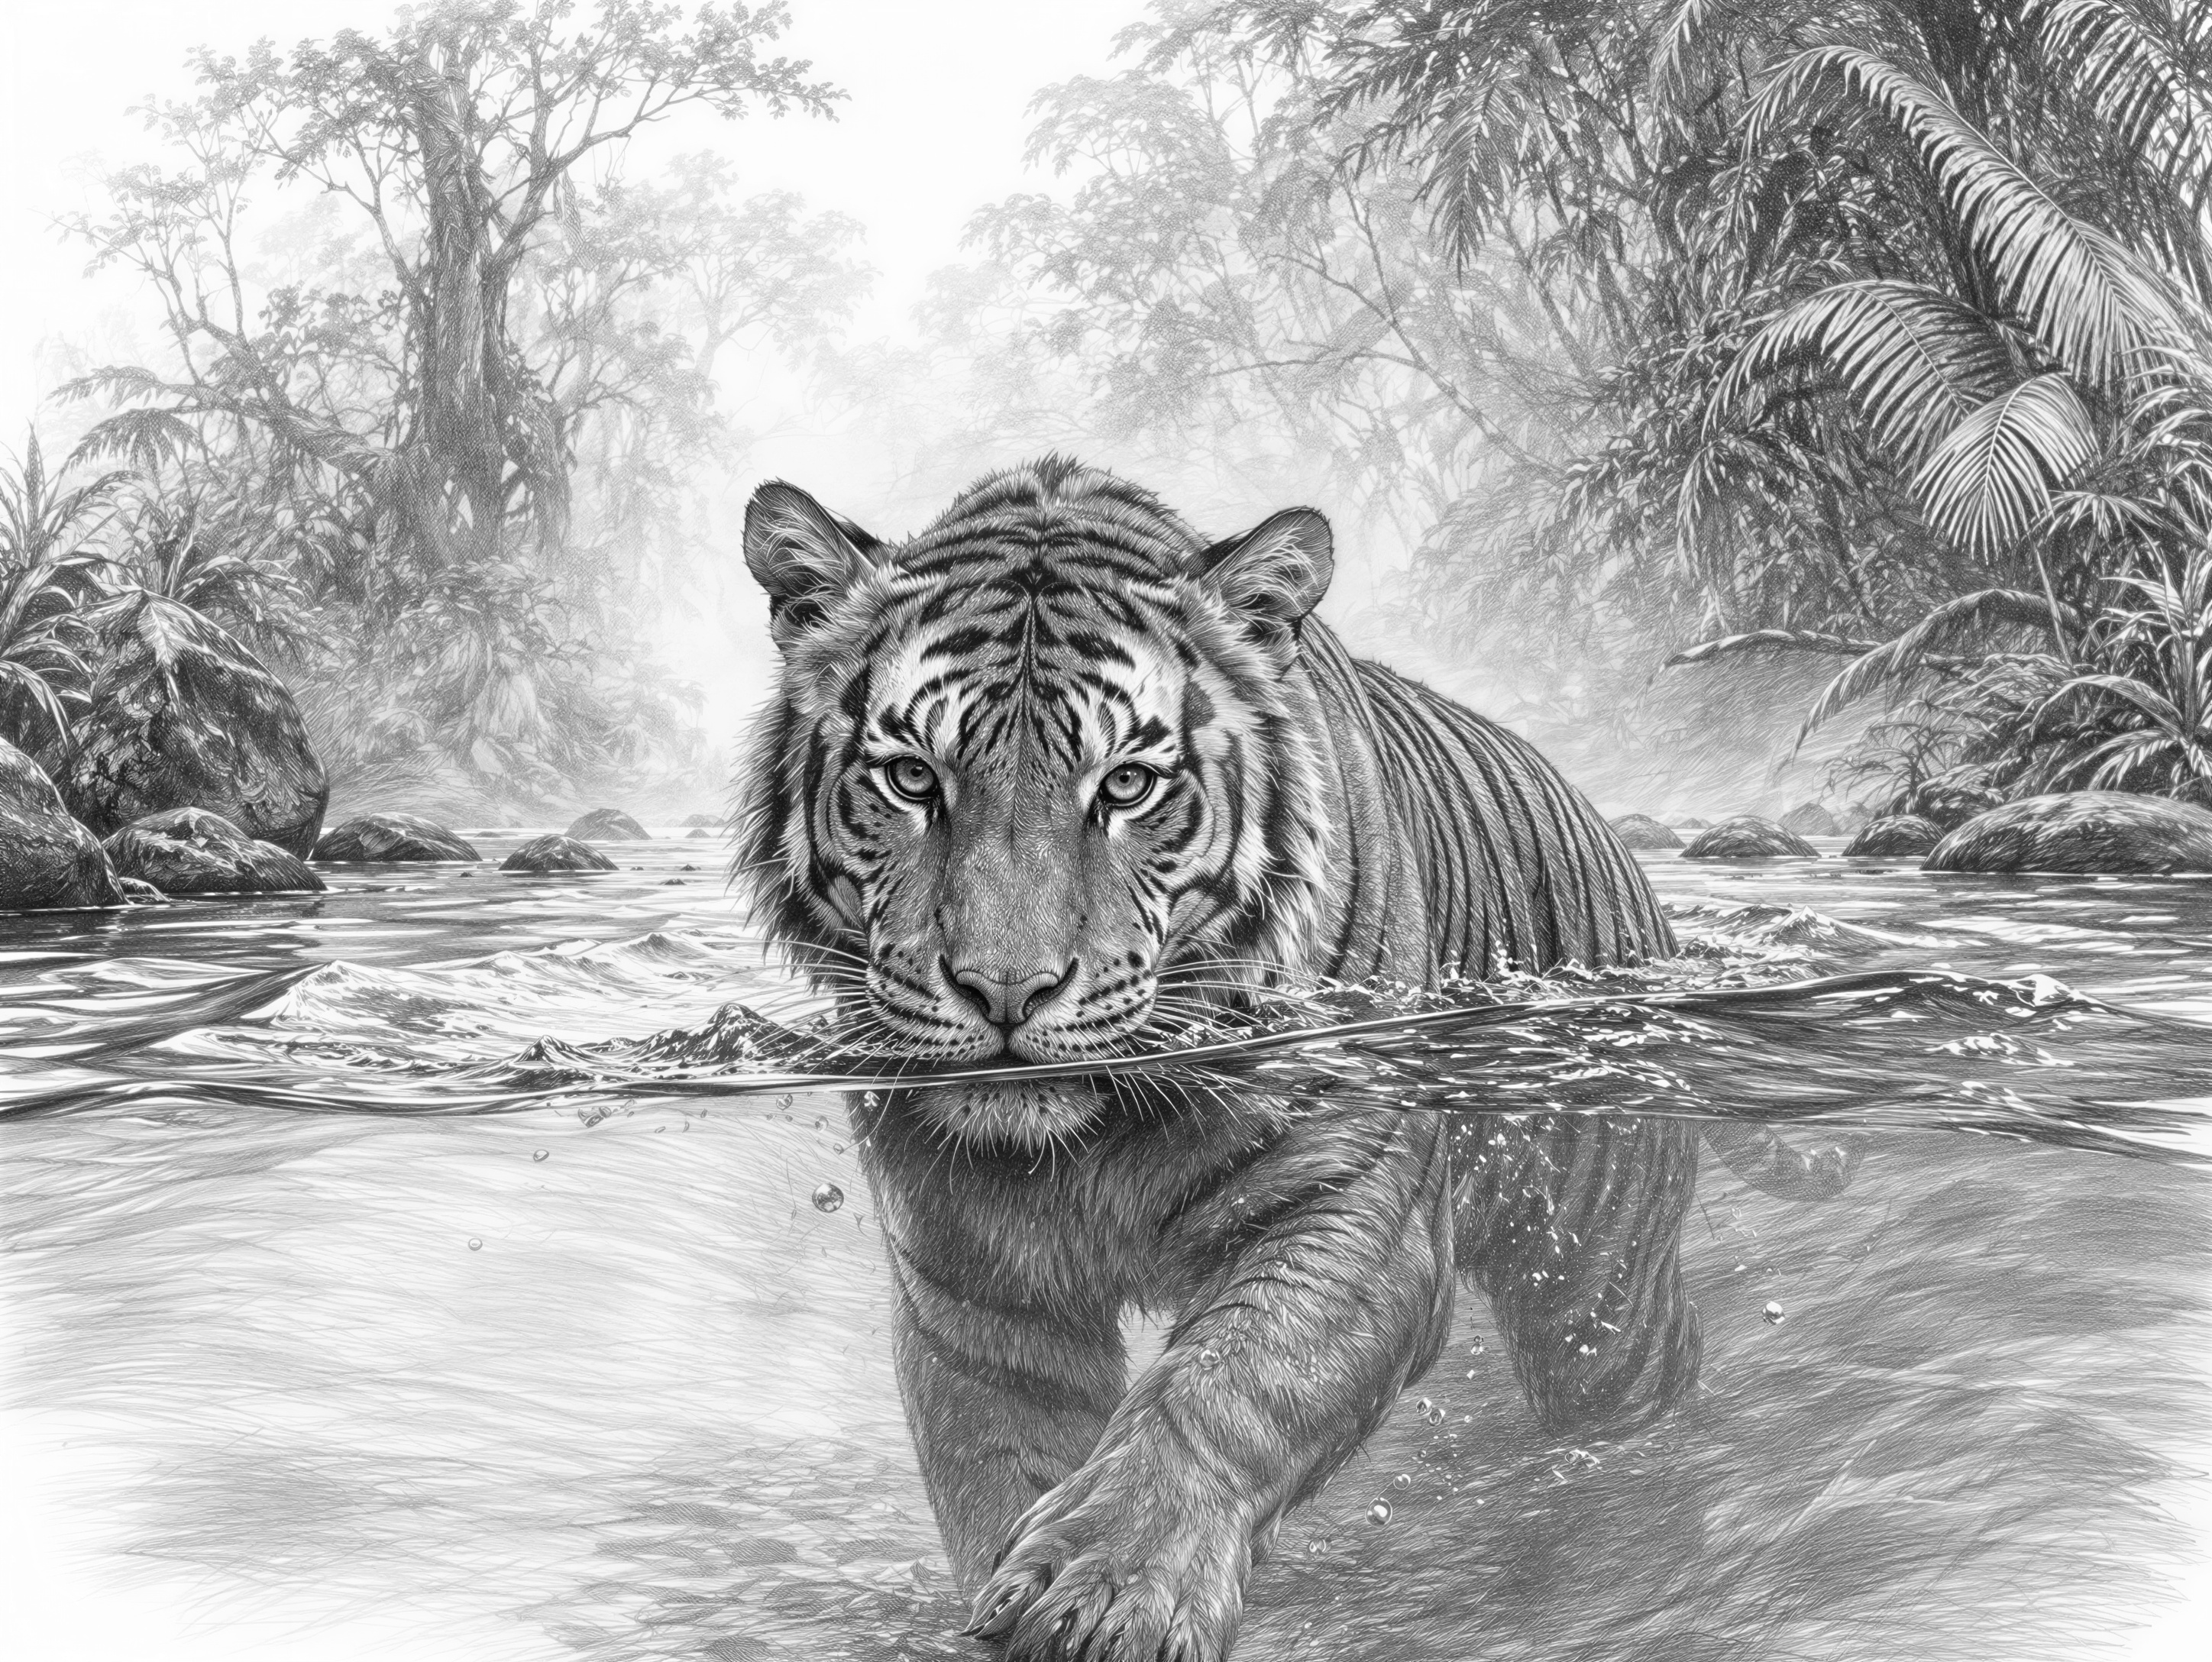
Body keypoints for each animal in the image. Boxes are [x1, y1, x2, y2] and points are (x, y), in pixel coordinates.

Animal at [737, 456, 1705, 1662]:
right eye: (914, 780)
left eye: (1127, 787)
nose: (1006, 989)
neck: (1088, 1139)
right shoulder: (971, 1283)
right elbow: (995, 1452)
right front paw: (1013, 1592)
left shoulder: (1353, 1212)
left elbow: (1226, 1386)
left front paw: (1106, 1590)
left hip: (1596, 1283)